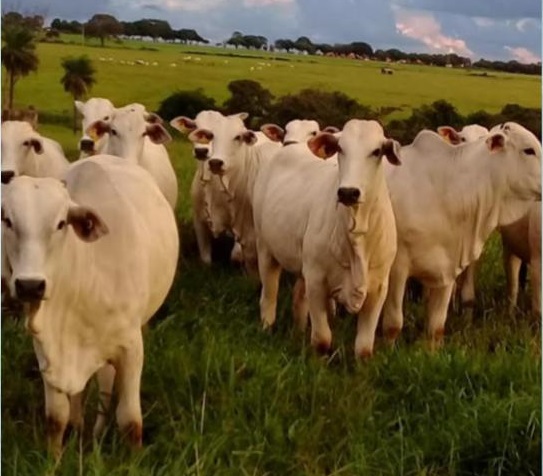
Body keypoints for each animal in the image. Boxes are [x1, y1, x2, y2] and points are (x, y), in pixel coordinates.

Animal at [2, 156, 181, 458]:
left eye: (61, 223)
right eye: (7, 220)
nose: (30, 285)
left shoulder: (132, 348)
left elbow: (130, 420)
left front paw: (134, 461)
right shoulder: (48, 350)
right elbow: (56, 418)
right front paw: (54, 459)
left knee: (106, 387)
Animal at [253, 120, 402, 356]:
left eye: (377, 151)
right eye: (340, 148)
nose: (348, 192)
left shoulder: (379, 288)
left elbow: (364, 348)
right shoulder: (316, 281)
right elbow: (322, 340)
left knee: (298, 298)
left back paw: (298, 333)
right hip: (265, 249)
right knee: (268, 297)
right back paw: (266, 328)